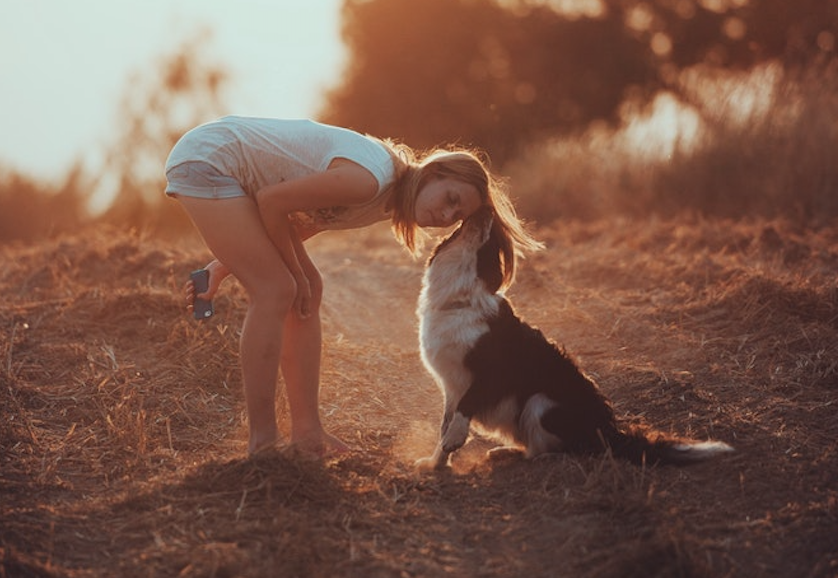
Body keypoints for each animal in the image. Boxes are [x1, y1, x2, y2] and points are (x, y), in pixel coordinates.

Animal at [418, 206, 736, 468]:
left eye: (494, 242)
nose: (485, 208)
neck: (461, 300)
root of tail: (609, 432)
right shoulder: (450, 384)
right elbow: (445, 423)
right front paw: (436, 464)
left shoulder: (488, 374)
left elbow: (464, 409)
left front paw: (454, 442)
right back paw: (504, 452)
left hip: (541, 402)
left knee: (554, 450)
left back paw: (521, 456)